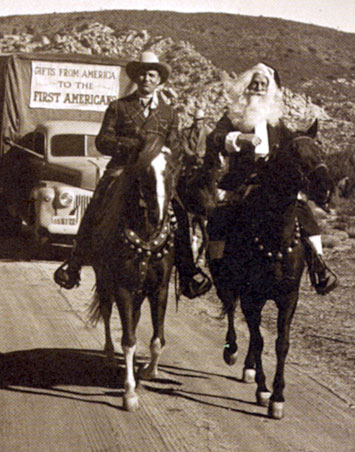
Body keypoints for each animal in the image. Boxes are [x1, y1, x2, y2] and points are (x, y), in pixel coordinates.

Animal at [89, 132, 178, 412]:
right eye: (145, 171)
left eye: (171, 170)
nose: (158, 214)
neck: (146, 235)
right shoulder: (123, 289)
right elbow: (128, 340)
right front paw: (129, 392)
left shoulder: (159, 289)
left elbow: (157, 339)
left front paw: (149, 371)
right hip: (104, 281)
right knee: (107, 314)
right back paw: (108, 354)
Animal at [207, 121, 336, 420]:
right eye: (296, 153)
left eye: (320, 149)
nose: (326, 189)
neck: (275, 236)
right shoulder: (250, 297)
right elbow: (258, 339)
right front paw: (264, 390)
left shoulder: (288, 297)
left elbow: (280, 344)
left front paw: (277, 396)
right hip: (229, 286)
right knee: (232, 312)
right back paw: (233, 352)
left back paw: (249, 367)